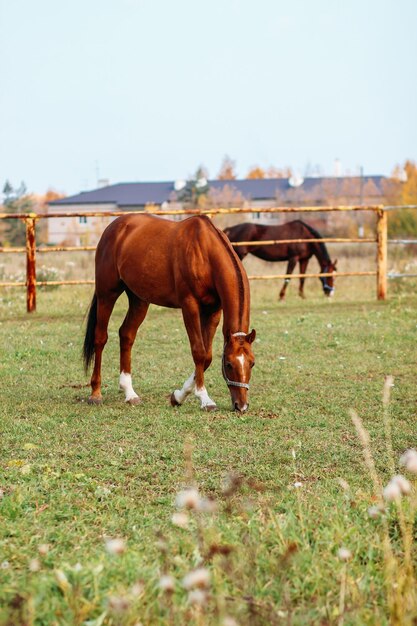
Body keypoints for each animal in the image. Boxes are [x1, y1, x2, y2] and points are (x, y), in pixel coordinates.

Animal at [83, 212, 255, 412]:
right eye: (228, 364)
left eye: (252, 363)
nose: (241, 406)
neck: (205, 254)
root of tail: (115, 226)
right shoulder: (189, 306)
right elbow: (199, 352)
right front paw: (204, 399)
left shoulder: (213, 312)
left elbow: (207, 357)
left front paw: (178, 396)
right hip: (107, 294)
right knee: (100, 338)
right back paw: (96, 393)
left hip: (139, 299)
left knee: (126, 335)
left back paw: (130, 393)